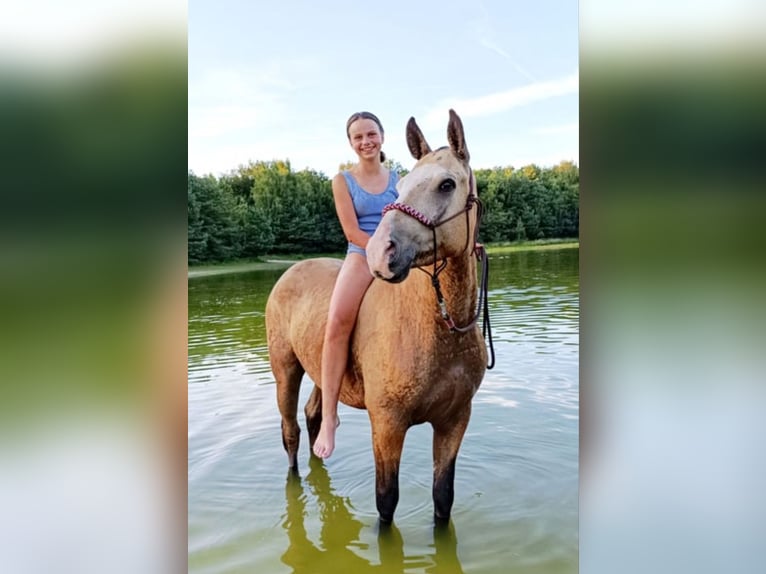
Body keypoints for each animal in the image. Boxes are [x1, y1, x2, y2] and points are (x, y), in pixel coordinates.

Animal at [265, 109, 489, 524]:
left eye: (447, 184)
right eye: (400, 191)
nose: (381, 253)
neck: (439, 329)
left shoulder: (455, 420)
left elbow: (443, 498)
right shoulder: (387, 425)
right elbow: (386, 500)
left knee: (315, 415)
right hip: (285, 369)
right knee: (290, 432)